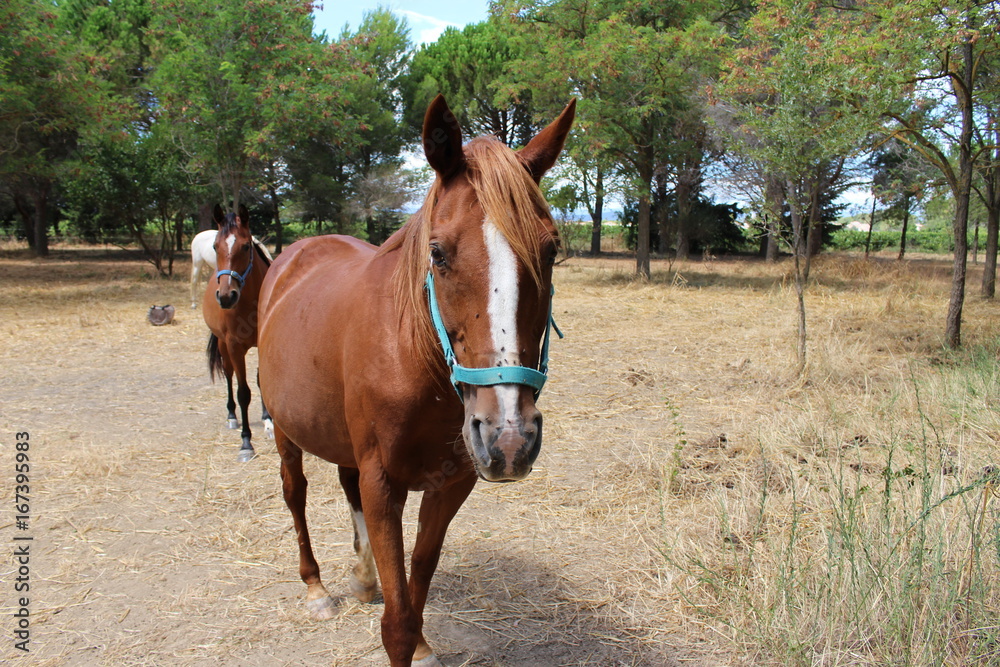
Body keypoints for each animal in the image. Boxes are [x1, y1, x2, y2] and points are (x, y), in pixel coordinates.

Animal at [201, 206, 272, 462]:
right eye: (215, 247)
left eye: (245, 246)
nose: (225, 296)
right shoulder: (233, 345)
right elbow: (243, 393)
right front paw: (246, 443)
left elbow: (262, 380)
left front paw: (269, 421)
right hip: (223, 344)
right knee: (229, 374)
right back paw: (232, 416)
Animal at [258, 95, 580, 667]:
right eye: (437, 253)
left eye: (550, 250)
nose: (509, 438)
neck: (419, 365)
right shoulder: (384, 484)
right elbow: (398, 624)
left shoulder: (452, 483)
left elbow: (417, 579)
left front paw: (423, 637)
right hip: (286, 431)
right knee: (295, 493)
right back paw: (316, 588)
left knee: (345, 488)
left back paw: (363, 578)